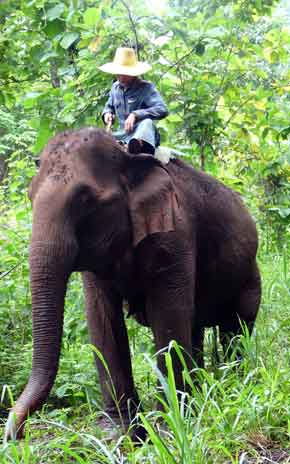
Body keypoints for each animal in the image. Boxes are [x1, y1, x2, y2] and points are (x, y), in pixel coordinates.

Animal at [4, 127, 262, 442]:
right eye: (29, 196)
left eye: (85, 200)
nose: (14, 437)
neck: (130, 159)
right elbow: (102, 318)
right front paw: (122, 434)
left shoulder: (175, 232)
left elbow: (168, 315)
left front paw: (169, 426)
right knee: (197, 328)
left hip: (250, 278)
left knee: (235, 330)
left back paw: (232, 384)